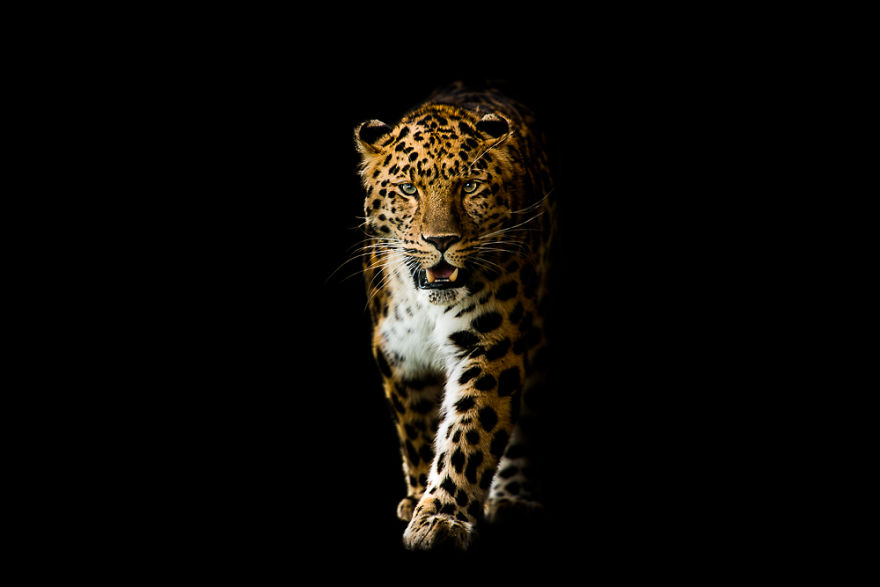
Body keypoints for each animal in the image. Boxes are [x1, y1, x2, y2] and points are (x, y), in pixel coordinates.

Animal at [354, 82, 556, 551]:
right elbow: (417, 429)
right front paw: (417, 498)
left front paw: (441, 517)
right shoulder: (398, 354)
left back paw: (514, 498)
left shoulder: (492, 343)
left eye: (470, 185)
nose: (441, 240)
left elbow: (468, 433)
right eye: (408, 189)